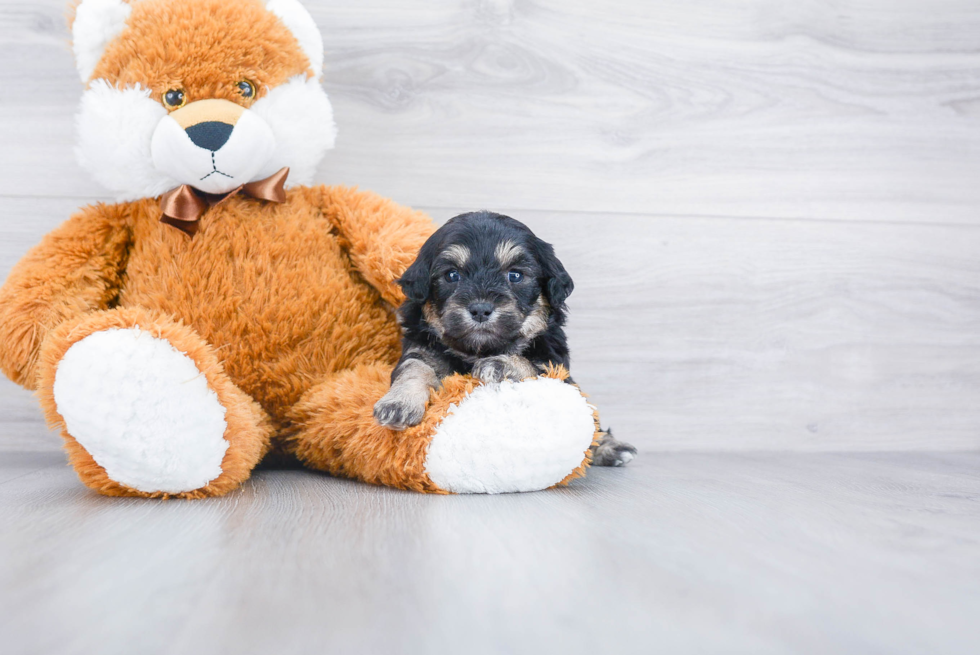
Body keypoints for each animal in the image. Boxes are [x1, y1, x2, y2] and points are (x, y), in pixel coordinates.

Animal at [374, 210, 636, 466]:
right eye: (452, 275)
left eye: (515, 275)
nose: (480, 309)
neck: (476, 351)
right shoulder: (420, 349)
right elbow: (414, 368)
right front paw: (399, 403)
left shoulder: (556, 368)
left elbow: (530, 366)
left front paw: (500, 364)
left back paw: (611, 447)